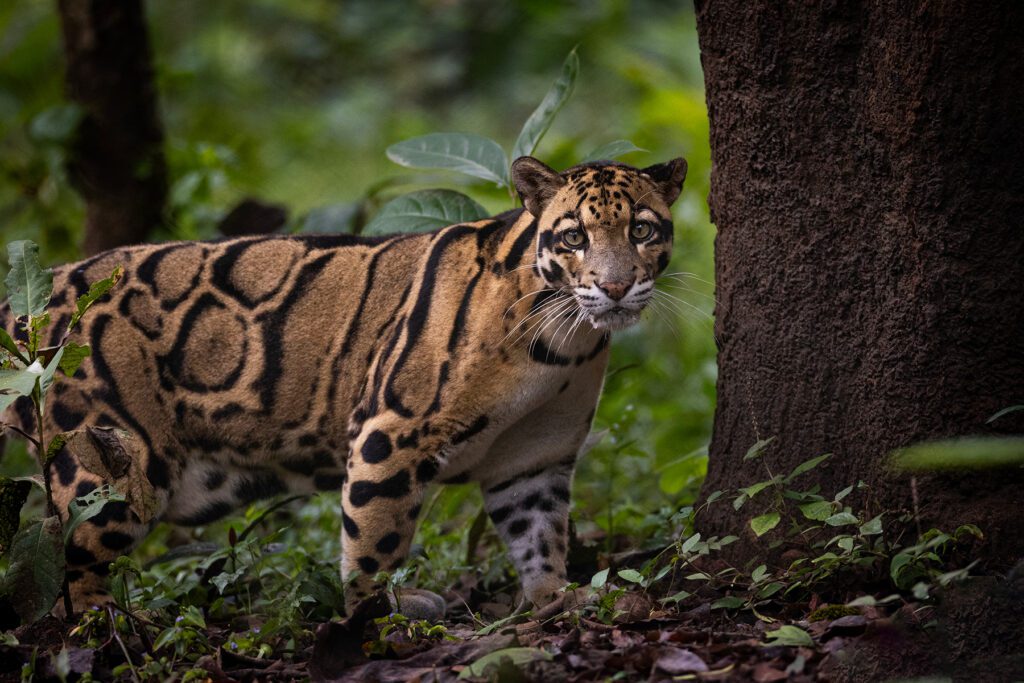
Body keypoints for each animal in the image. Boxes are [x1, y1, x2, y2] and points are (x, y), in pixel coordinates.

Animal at [0, 154, 687, 616]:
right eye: (574, 237)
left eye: (643, 230)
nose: (617, 286)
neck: (562, 347)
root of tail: (44, 289)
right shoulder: (391, 432)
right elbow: (374, 539)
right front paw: (374, 619)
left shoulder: (535, 458)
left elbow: (540, 537)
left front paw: (554, 602)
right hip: (111, 467)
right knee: (70, 565)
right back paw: (102, 630)